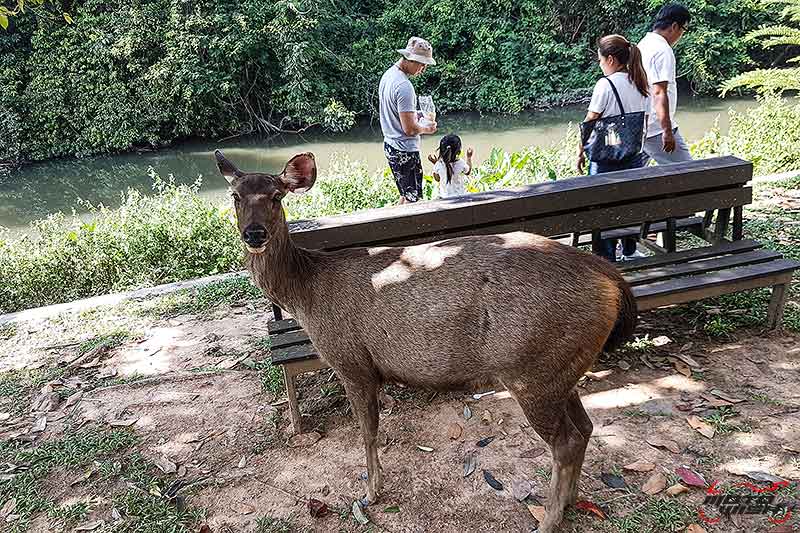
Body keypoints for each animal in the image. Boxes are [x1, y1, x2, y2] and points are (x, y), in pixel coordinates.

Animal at [214, 150, 636, 532]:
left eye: (276, 196)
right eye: (235, 196)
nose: (254, 234)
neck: (306, 296)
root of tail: (611, 279)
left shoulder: (351, 361)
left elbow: (367, 432)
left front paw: (369, 494)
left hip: (532, 370)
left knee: (565, 440)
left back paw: (547, 519)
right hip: (562, 369)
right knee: (585, 428)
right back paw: (569, 502)